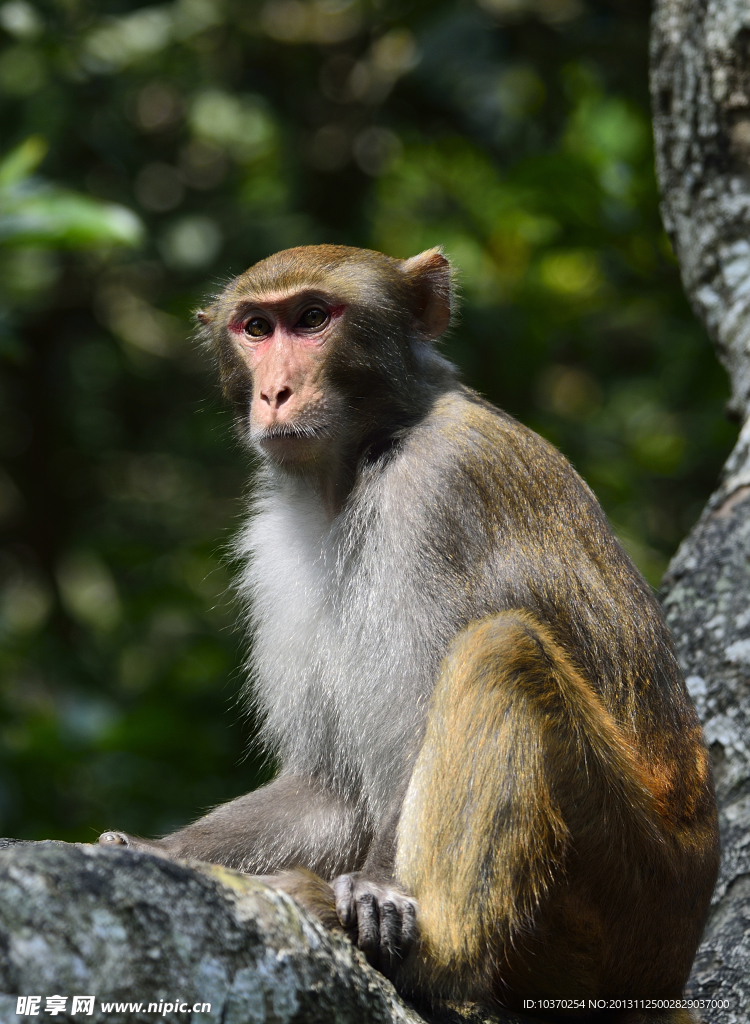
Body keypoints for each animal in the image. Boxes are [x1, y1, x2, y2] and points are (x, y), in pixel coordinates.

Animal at [96, 243, 717, 1011]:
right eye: (255, 329)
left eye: (312, 319)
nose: (274, 394)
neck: (362, 460)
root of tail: (673, 965)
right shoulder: (275, 545)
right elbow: (331, 789)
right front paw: (156, 853)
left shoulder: (434, 494)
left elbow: (415, 720)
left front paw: (379, 891)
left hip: (627, 899)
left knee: (501, 650)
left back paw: (430, 956)